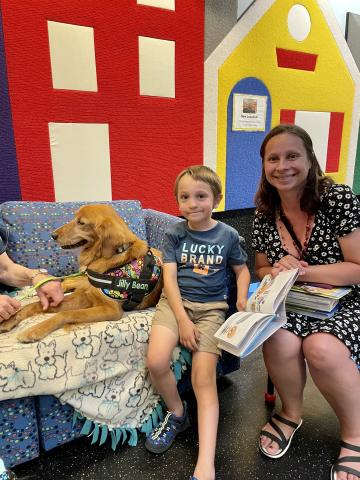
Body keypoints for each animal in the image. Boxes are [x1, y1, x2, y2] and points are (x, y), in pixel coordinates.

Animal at [0, 204, 163, 344]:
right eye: (74, 218)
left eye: (81, 222)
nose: (53, 235)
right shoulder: (85, 297)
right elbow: (34, 305)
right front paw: (10, 320)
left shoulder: (111, 309)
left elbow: (67, 314)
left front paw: (33, 330)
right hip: (82, 282)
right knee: (67, 282)